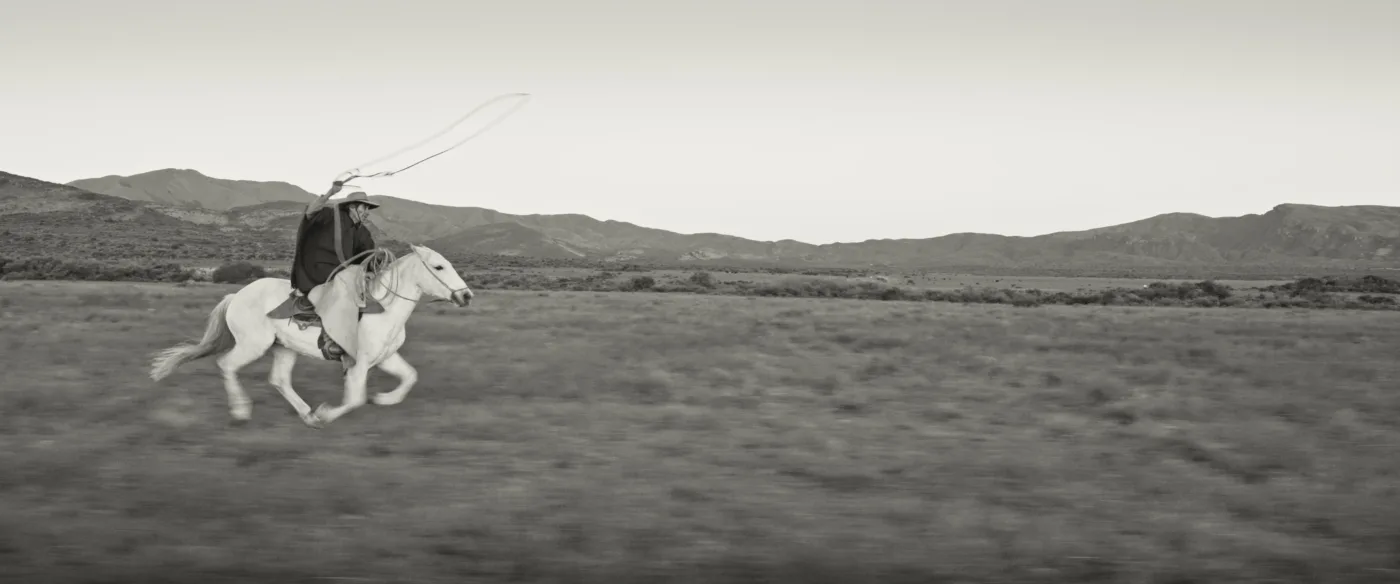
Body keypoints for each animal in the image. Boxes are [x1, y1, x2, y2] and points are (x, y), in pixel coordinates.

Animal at [149, 244, 474, 428]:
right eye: (439, 266)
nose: (466, 296)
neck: (383, 308)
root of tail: (236, 295)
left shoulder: (386, 358)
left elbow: (409, 377)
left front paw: (384, 399)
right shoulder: (358, 364)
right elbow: (355, 399)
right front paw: (328, 414)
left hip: (284, 348)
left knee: (279, 379)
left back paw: (306, 414)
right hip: (253, 346)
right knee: (226, 365)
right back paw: (241, 412)